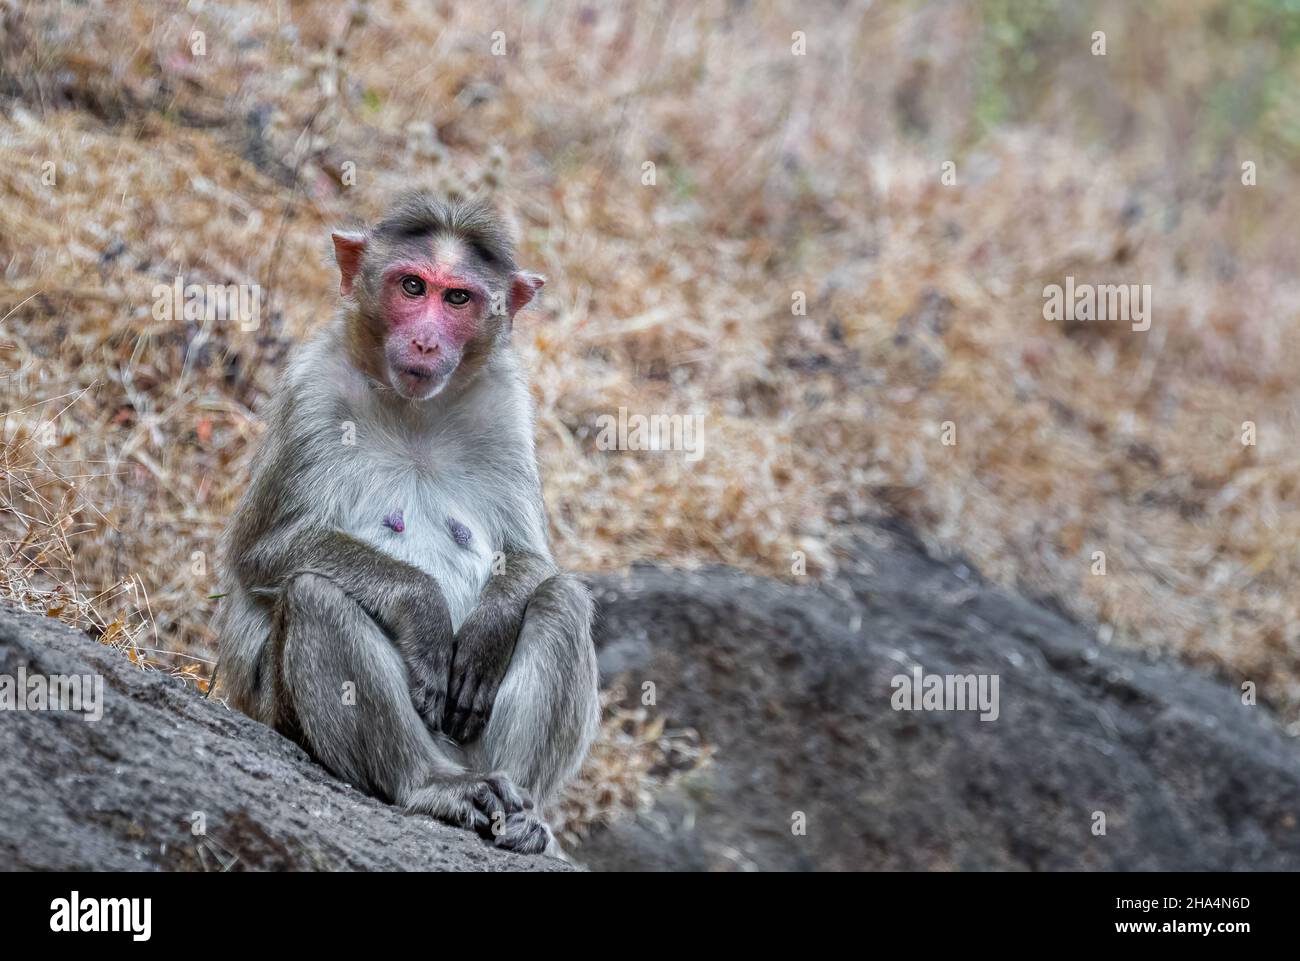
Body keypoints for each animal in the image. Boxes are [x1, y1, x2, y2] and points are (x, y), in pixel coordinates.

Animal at [212, 193, 600, 855]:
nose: (423, 342)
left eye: (458, 298)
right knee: (315, 595)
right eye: (412, 286)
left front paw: (488, 630)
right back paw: (428, 786)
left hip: (473, 744)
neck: (415, 409)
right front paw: (420, 607)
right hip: (281, 716)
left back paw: (519, 812)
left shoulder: (506, 407)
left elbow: (531, 558)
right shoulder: (312, 391)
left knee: (562, 600)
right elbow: (261, 552)